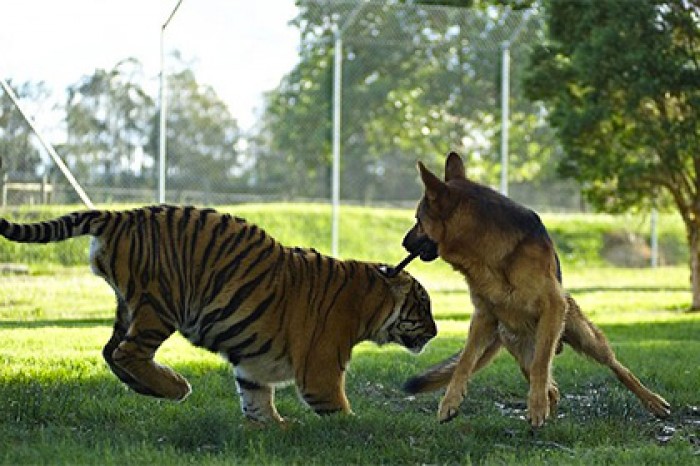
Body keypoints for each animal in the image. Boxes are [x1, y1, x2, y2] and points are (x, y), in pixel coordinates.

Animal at [0, 206, 434, 424]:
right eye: (424, 306)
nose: (435, 331)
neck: (371, 302)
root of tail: (122, 214)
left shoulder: (254, 368)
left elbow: (257, 402)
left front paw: (276, 429)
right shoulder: (321, 370)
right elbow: (342, 415)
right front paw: (354, 430)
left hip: (130, 304)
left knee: (111, 351)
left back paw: (152, 388)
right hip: (162, 304)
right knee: (127, 352)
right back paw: (175, 387)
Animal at [400, 152, 668, 426]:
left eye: (418, 220)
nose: (403, 243)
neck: (490, 256)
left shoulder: (552, 307)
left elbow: (542, 363)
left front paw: (537, 408)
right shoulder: (483, 317)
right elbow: (465, 361)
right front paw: (450, 402)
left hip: (585, 337)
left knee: (616, 367)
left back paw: (653, 401)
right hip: (519, 351)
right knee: (552, 388)